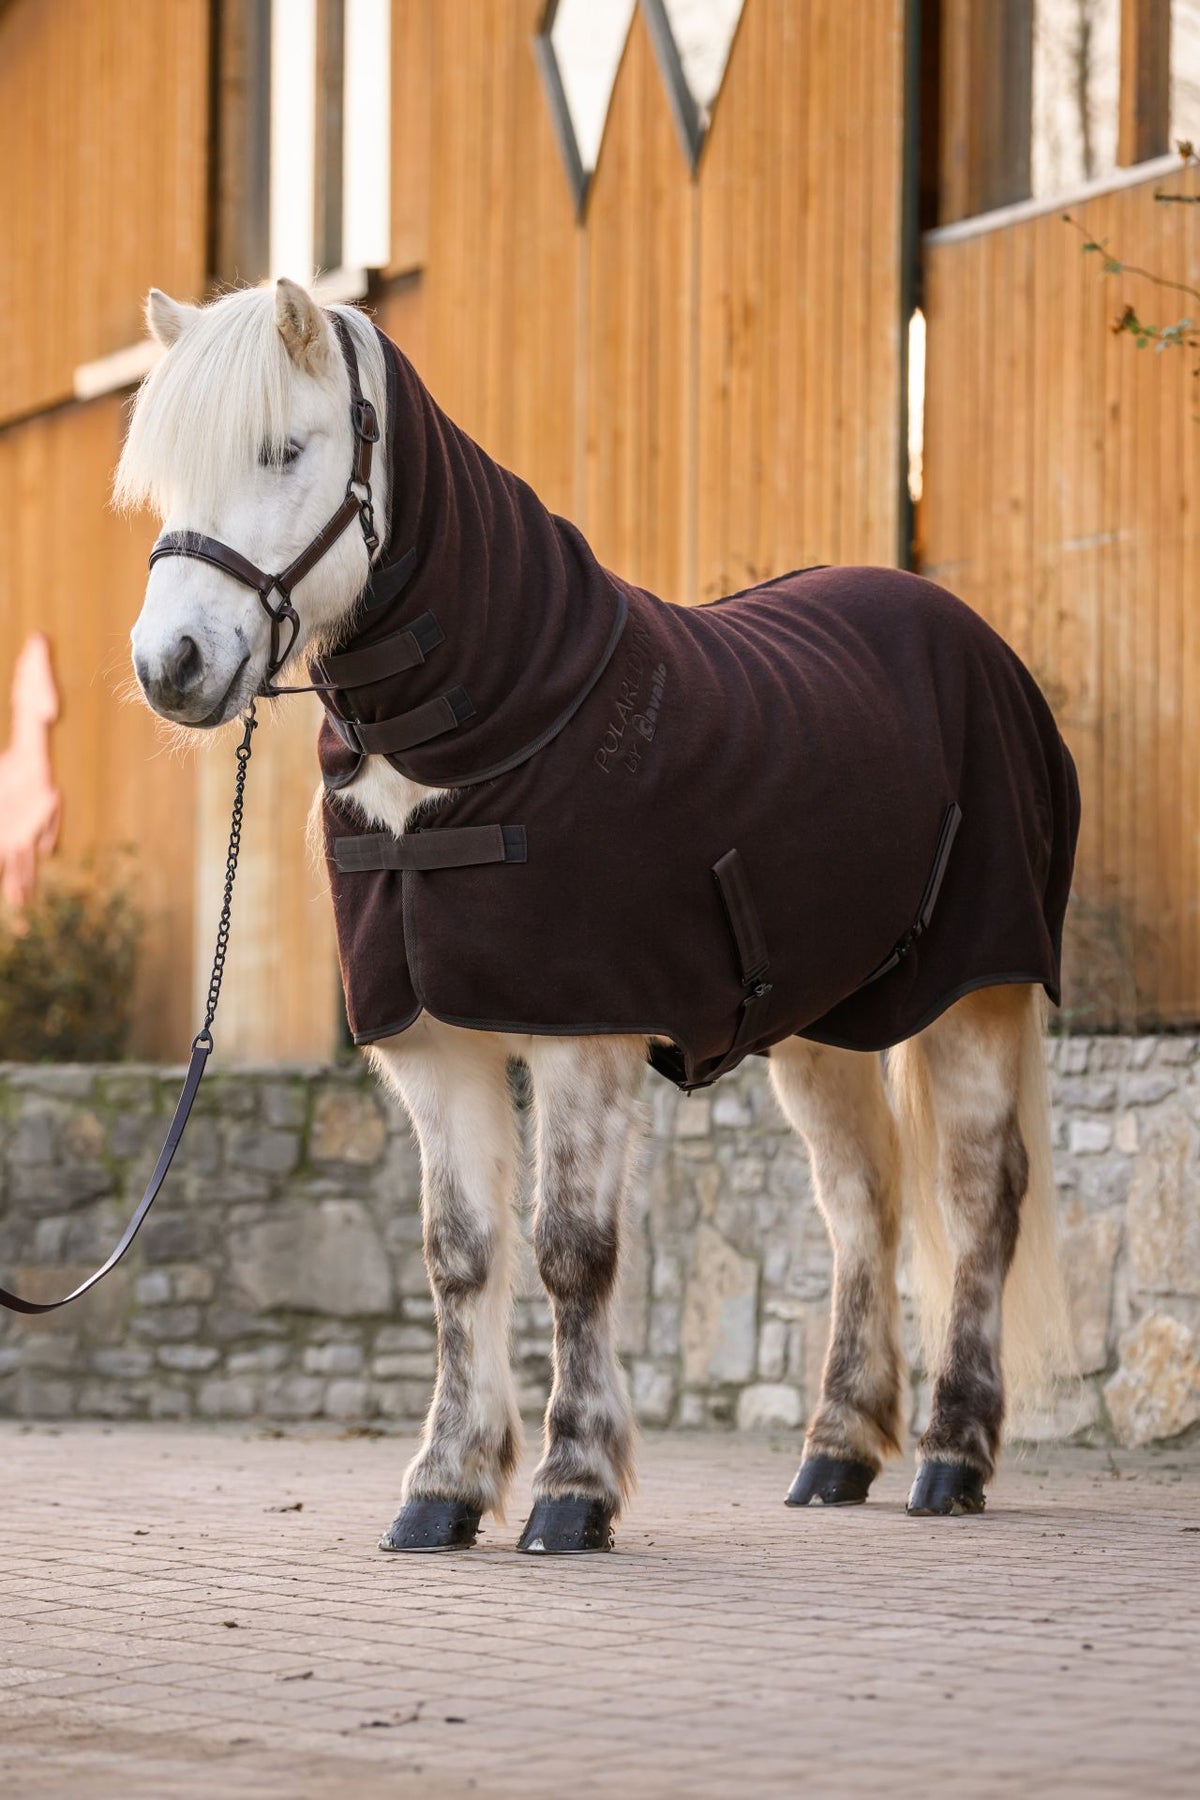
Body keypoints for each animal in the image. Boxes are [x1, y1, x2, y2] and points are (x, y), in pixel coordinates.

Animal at [116, 279, 1077, 1554]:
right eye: (166, 476)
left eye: (284, 448)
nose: (169, 666)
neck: (486, 731)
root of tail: (972, 640)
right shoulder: (436, 1047)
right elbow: (460, 1257)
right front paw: (445, 1485)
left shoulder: (586, 1035)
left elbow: (570, 1253)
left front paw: (573, 1487)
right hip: (822, 1030)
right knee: (859, 1202)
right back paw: (835, 1450)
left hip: (977, 993)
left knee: (975, 1203)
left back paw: (951, 1455)